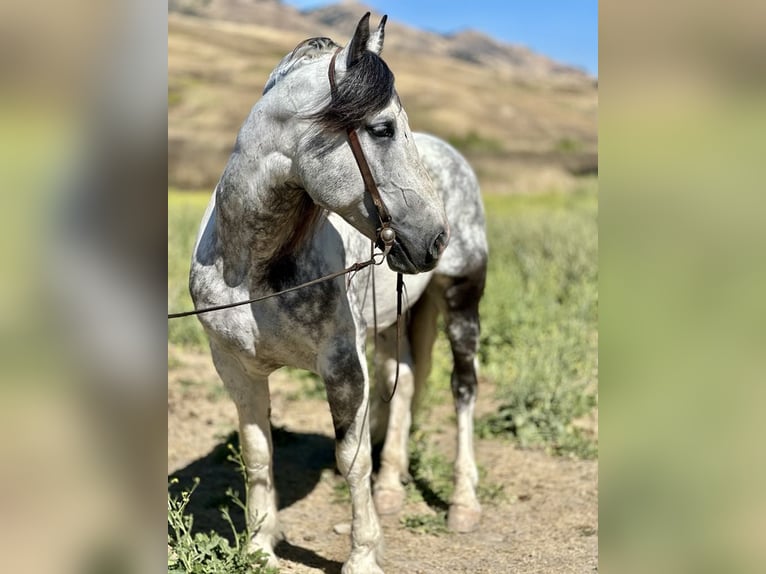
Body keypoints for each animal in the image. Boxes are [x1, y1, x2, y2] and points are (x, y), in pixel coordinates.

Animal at [192, 13, 492, 574]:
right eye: (382, 128)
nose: (436, 238)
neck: (251, 268)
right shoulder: (235, 368)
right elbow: (258, 455)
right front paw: (260, 548)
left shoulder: (343, 367)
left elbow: (351, 460)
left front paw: (363, 556)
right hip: (397, 316)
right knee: (406, 378)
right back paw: (392, 489)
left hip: (463, 296)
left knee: (463, 389)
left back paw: (463, 504)